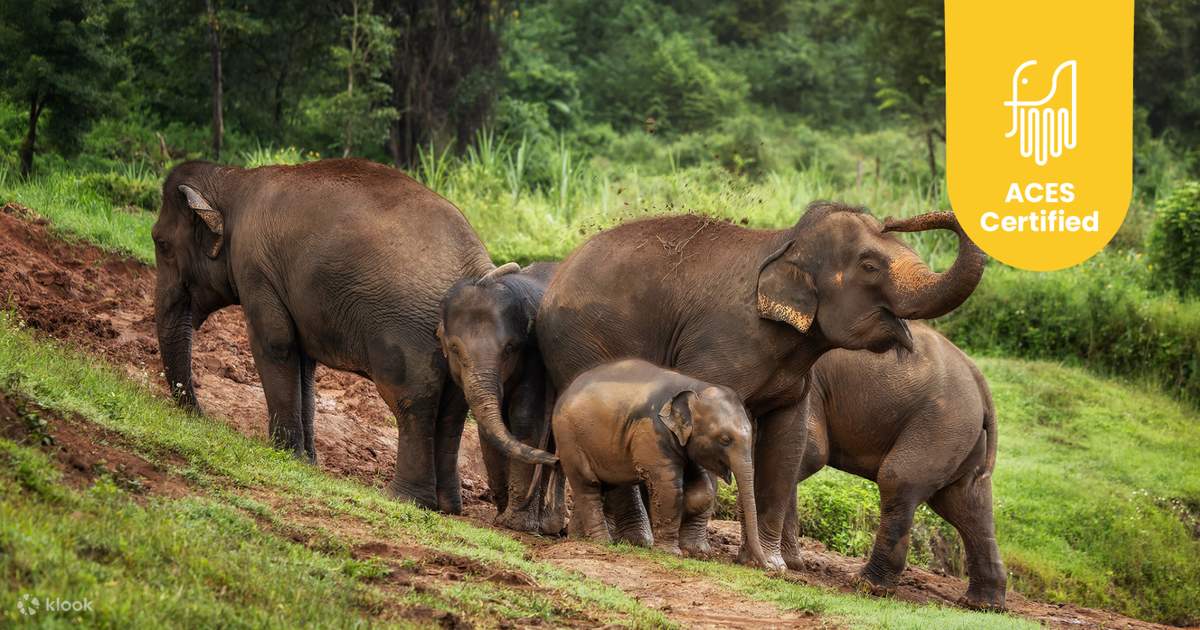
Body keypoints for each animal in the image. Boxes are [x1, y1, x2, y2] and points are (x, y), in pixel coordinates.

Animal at [151, 158, 553, 513]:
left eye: (162, 244)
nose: (200, 415)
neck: (233, 179)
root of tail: (477, 262)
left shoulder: (255, 268)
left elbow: (275, 344)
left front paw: (282, 454)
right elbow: (304, 364)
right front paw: (306, 462)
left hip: (406, 331)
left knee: (413, 402)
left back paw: (403, 499)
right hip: (458, 349)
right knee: (452, 410)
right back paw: (447, 506)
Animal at [436, 260, 564, 534]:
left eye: (510, 348)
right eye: (454, 349)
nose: (555, 461)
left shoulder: (535, 358)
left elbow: (526, 419)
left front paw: (516, 524)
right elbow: (490, 429)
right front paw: (502, 516)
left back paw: (551, 526)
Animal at [552, 359, 770, 568]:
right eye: (725, 439)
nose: (765, 566)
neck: (694, 387)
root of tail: (566, 391)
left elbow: (703, 489)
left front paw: (695, 550)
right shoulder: (652, 432)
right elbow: (668, 489)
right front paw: (671, 552)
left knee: (603, 485)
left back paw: (578, 538)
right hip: (570, 439)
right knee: (588, 485)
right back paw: (602, 541)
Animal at [797, 322, 1006, 609]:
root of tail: (979, 379)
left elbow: (811, 451)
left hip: (940, 425)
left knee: (897, 479)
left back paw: (866, 585)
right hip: (962, 435)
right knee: (965, 504)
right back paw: (982, 605)